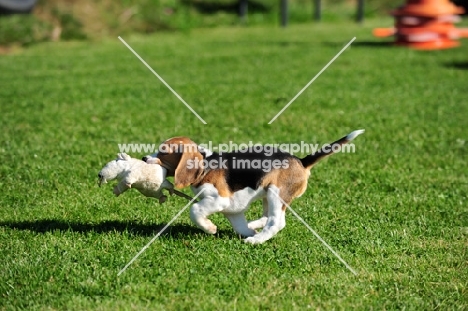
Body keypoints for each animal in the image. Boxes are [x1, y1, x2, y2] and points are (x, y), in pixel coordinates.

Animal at [144, 130, 364, 245]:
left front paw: (209, 228)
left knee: (276, 222)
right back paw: (255, 228)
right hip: (267, 194)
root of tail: (301, 161)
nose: (145, 158)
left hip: (276, 193)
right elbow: (239, 224)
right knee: (269, 218)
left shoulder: (219, 199)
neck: (206, 165)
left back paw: (257, 240)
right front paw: (247, 230)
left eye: (164, 152)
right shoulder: (232, 208)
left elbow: (195, 209)